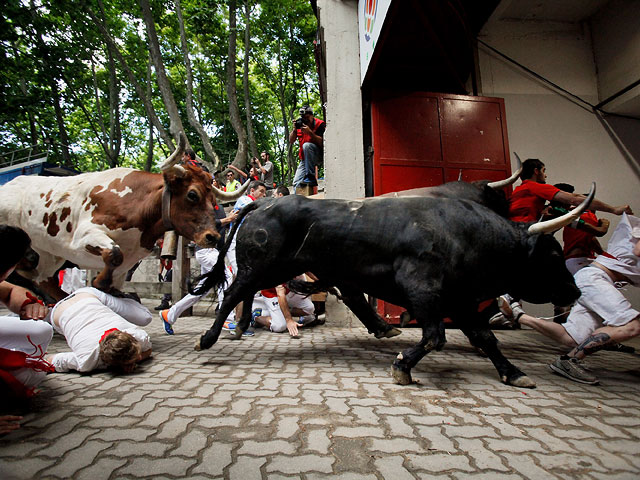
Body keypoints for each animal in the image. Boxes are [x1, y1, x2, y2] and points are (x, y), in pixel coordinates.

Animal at [0, 132, 248, 296]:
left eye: (213, 200)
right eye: (192, 195)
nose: (213, 237)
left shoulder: (129, 261)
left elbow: (116, 272)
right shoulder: (83, 236)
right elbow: (113, 253)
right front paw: (100, 282)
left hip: (50, 255)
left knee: (42, 279)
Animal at [191, 186, 596, 388]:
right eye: (553, 255)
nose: (575, 292)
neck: (465, 234)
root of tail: (264, 202)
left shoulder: (460, 300)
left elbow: (485, 338)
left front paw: (512, 372)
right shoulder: (423, 290)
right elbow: (435, 336)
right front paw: (402, 365)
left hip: (274, 269)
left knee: (244, 294)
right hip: (261, 266)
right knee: (233, 293)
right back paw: (208, 338)